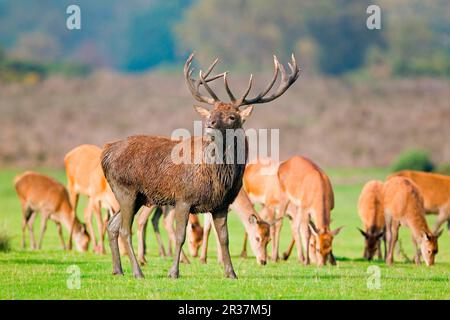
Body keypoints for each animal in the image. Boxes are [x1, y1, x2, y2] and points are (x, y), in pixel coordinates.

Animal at [100, 52, 300, 278]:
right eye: (211, 112)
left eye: (232, 116)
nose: (209, 124)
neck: (219, 177)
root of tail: (105, 153)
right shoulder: (183, 198)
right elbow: (180, 236)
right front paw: (173, 272)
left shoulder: (222, 204)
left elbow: (224, 238)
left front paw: (231, 273)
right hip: (126, 189)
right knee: (125, 230)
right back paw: (137, 272)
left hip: (139, 197)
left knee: (113, 225)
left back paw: (118, 270)